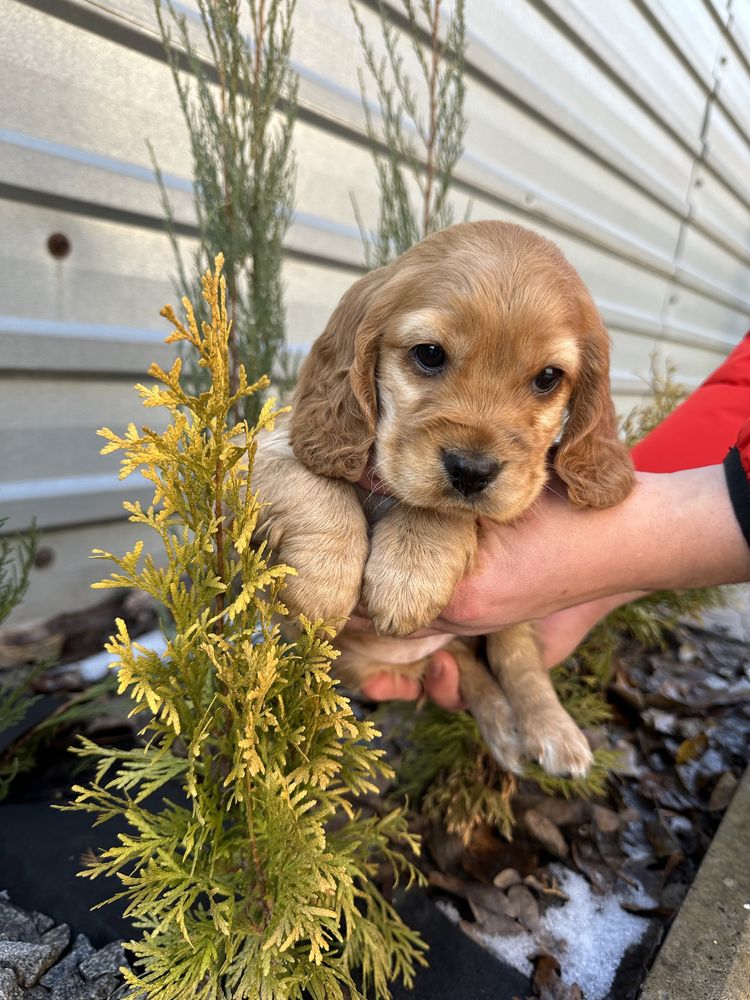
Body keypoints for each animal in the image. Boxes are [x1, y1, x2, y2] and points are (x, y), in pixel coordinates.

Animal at [256, 223, 636, 776]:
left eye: (548, 378)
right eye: (430, 354)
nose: (472, 470)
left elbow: (438, 510)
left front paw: (409, 573)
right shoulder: (262, 448)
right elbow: (312, 483)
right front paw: (322, 587)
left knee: (516, 658)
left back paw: (549, 730)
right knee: (464, 663)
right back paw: (504, 727)